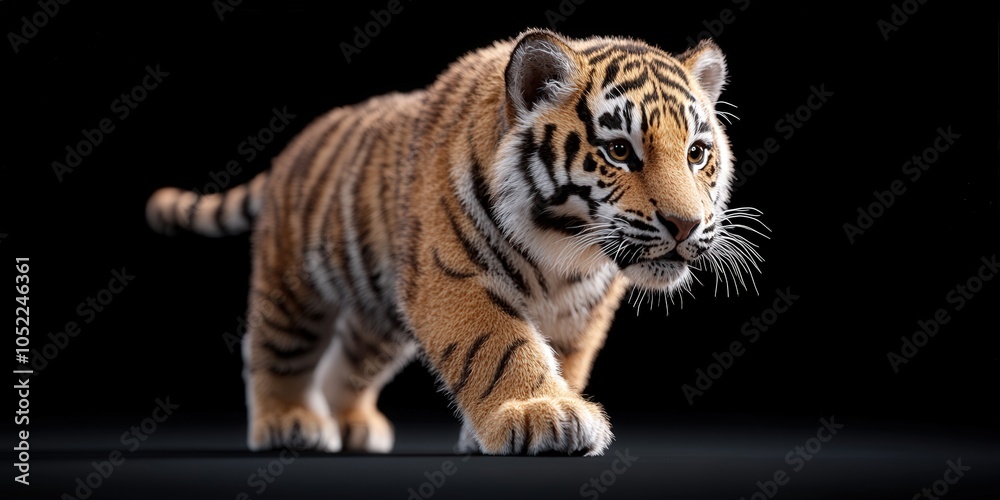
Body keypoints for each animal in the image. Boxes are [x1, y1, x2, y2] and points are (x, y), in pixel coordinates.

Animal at [145, 28, 763, 456]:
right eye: (619, 151)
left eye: (697, 153)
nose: (686, 224)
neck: (567, 253)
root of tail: (293, 148)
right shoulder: (454, 277)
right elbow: (500, 346)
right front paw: (544, 414)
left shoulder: (580, 313)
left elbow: (562, 358)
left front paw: (531, 411)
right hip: (294, 287)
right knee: (274, 349)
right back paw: (289, 421)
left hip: (379, 319)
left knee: (349, 362)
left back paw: (355, 427)